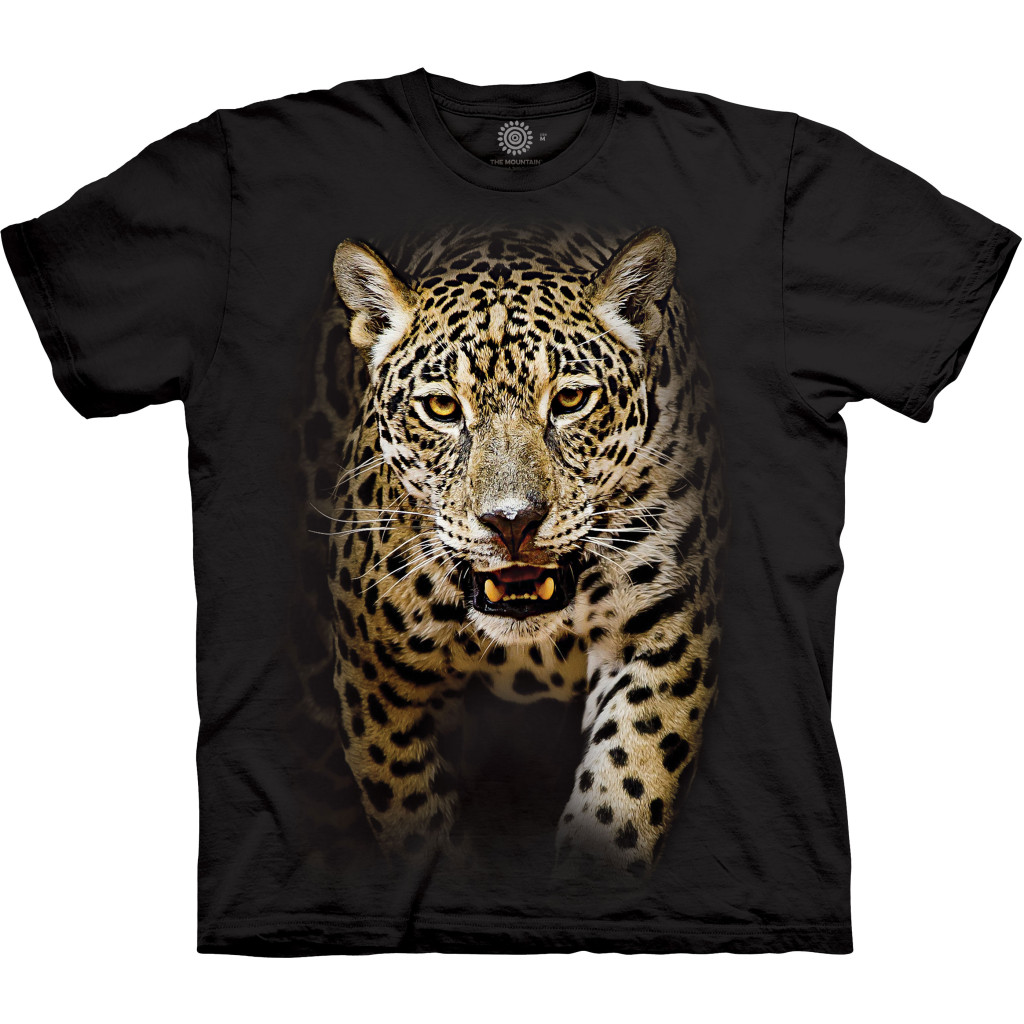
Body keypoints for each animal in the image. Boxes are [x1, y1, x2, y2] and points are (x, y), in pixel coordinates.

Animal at [303, 223, 726, 877]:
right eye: (443, 407)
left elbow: (623, 794)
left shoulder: (662, 635)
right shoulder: (377, 676)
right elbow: (413, 817)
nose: (512, 522)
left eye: (571, 401)